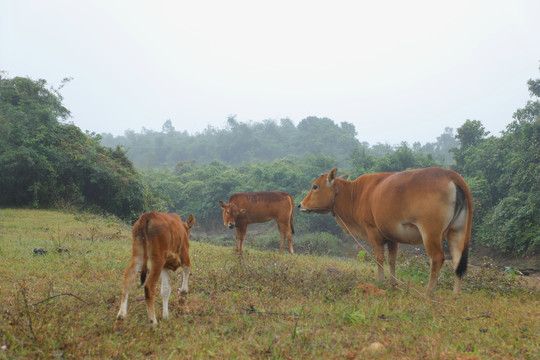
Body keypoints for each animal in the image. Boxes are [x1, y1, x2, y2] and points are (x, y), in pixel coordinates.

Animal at [298, 167, 470, 296]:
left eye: (315, 186)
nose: (300, 205)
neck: (355, 194)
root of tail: (452, 175)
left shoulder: (373, 231)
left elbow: (379, 258)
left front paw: (379, 281)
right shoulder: (392, 236)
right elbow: (392, 259)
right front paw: (393, 283)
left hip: (430, 232)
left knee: (437, 258)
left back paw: (429, 292)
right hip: (457, 231)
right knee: (457, 260)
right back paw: (456, 293)